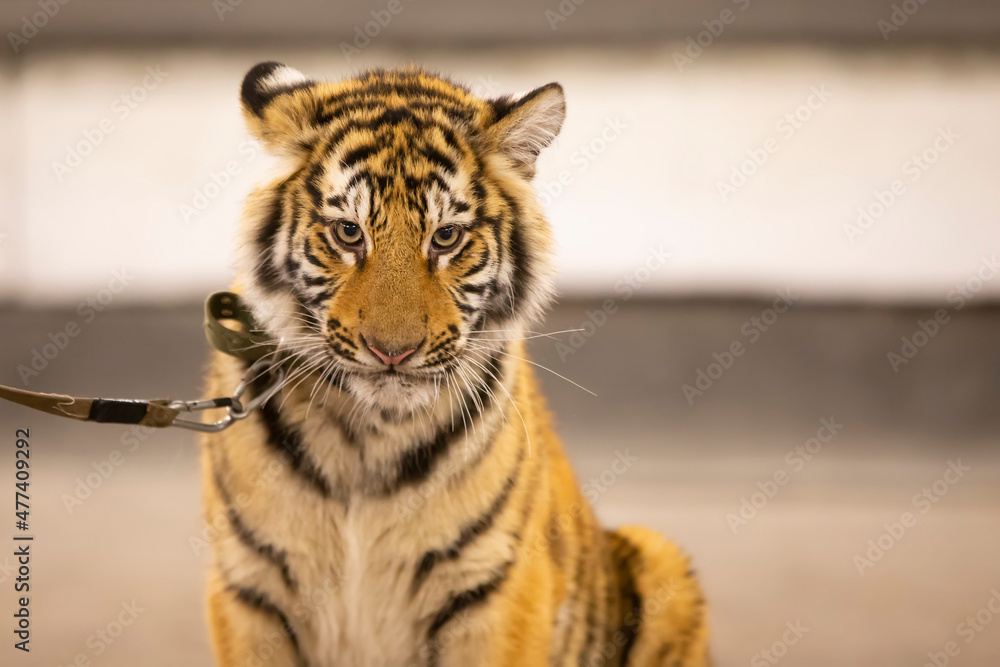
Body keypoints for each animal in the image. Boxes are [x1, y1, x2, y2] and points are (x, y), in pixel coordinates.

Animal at [200, 62, 711, 667]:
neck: (370, 438)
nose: (392, 351)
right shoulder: (247, 588)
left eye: (446, 237)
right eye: (349, 232)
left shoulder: (494, 590)